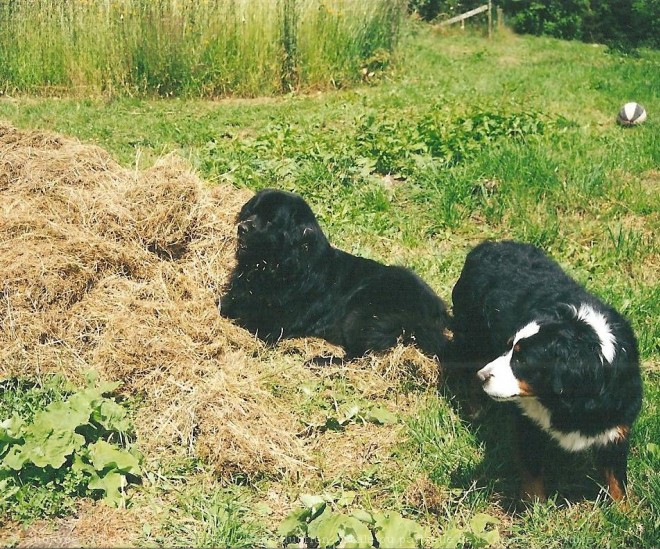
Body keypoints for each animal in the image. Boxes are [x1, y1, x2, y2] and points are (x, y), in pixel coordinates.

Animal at [219, 187, 452, 360]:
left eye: (270, 221)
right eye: (251, 212)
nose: (242, 228)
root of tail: (436, 308)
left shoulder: (272, 323)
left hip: (361, 314)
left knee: (359, 355)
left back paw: (319, 361)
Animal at [452, 240, 640, 500]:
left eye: (522, 360)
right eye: (509, 347)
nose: (483, 376)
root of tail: (486, 245)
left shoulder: (614, 429)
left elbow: (617, 484)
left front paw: (622, 509)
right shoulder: (528, 423)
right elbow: (532, 478)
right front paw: (535, 508)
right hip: (471, 338)